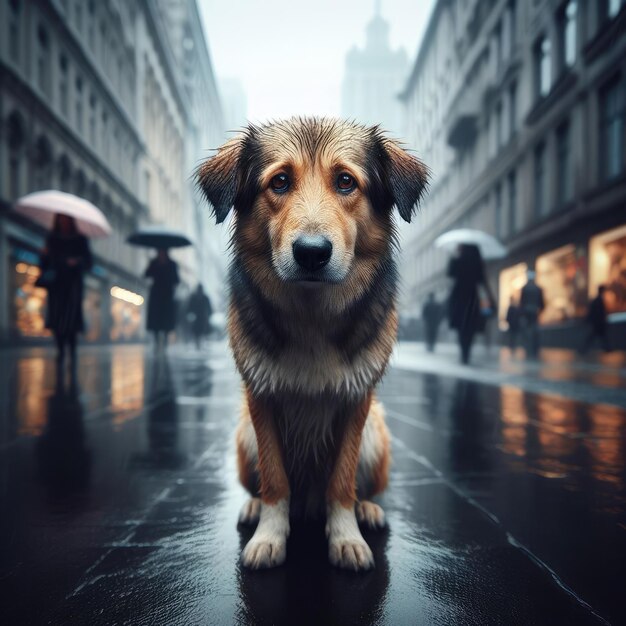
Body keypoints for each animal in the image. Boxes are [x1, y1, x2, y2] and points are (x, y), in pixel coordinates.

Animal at [197, 117, 426, 572]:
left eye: (345, 181)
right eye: (280, 181)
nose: (312, 253)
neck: (312, 311)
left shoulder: (356, 400)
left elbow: (342, 482)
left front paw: (346, 538)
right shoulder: (261, 397)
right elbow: (275, 480)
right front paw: (269, 536)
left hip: (377, 434)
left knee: (359, 487)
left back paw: (367, 509)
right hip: (244, 435)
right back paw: (254, 507)